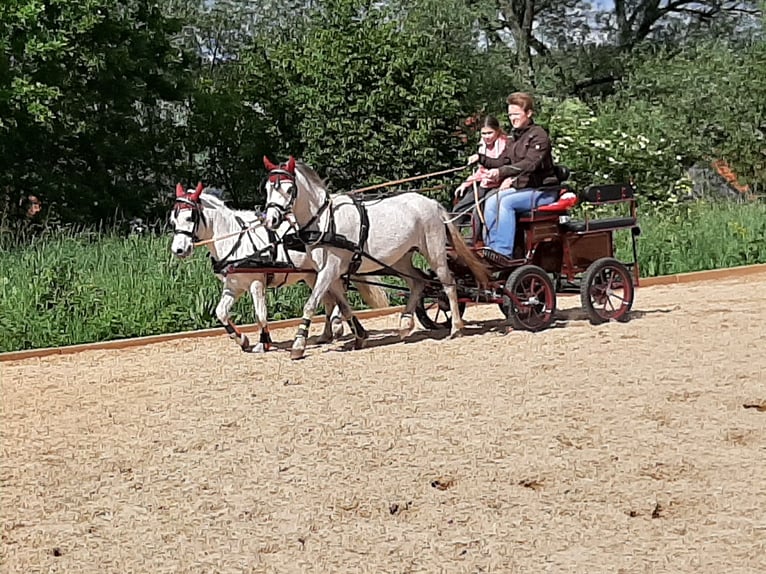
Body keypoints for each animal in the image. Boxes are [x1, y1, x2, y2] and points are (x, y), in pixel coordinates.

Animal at [264, 155, 492, 358]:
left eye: (289, 189)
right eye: (266, 188)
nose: (271, 220)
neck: (324, 220)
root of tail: (432, 203)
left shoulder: (330, 270)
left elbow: (311, 304)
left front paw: (298, 345)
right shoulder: (330, 273)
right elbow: (344, 306)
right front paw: (360, 336)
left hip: (434, 251)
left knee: (447, 283)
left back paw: (456, 327)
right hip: (400, 258)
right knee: (418, 281)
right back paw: (405, 324)